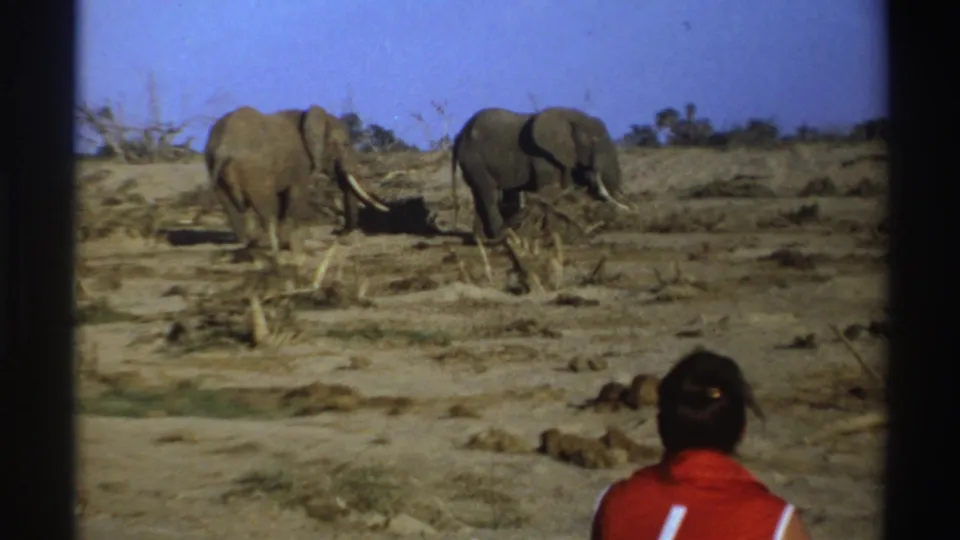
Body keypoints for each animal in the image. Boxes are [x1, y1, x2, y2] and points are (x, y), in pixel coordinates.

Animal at [204, 105, 389, 253]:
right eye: (345, 145)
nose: (337, 232)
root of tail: (223, 146)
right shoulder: (300, 164)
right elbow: (295, 194)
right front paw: (289, 240)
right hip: (253, 169)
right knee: (264, 204)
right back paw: (267, 242)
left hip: (215, 169)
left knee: (232, 207)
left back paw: (249, 241)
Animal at [449, 106, 632, 242]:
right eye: (593, 143)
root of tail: (459, 136)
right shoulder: (542, 157)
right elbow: (550, 191)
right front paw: (553, 235)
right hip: (474, 160)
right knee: (489, 195)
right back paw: (504, 236)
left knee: (484, 195)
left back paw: (483, 240)